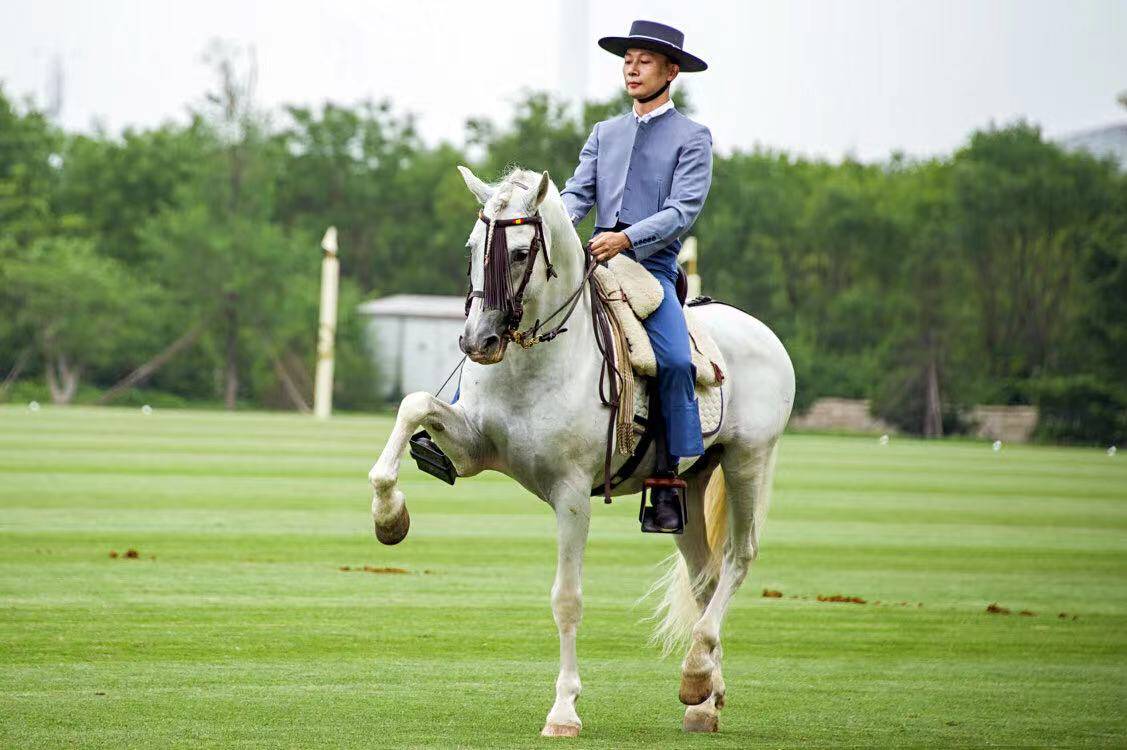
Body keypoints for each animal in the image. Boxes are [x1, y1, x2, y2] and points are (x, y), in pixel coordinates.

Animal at [367, 166, 793, 735]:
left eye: (519, 252)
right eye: (474, 246)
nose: (477, 341)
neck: (536, 360)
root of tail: (763, 331)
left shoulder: (570, 495)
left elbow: (567, 600)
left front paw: (564, 709)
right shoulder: (474, 448)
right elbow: (413, 406)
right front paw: (389, 516)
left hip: (748, 461)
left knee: (738, 559)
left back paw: (697, 672)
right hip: (690, 483)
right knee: (705, 577)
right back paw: (705, 695)